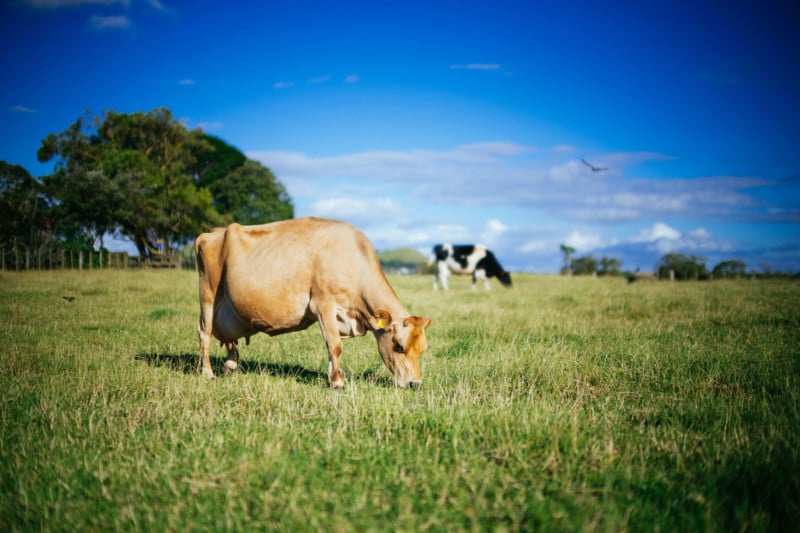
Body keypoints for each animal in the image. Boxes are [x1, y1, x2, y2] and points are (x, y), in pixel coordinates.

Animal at [195, 217, 432, 389]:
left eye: (423, 349)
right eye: (398, 346)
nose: (415, 384)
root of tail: (214, 232)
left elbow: (331, 346)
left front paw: (332, 376)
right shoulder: (323, 304)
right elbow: (335, 345)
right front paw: (338, 382)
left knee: (228, 338)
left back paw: (230, 365)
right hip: (208, 292)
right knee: (204, 332)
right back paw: (208, 373)